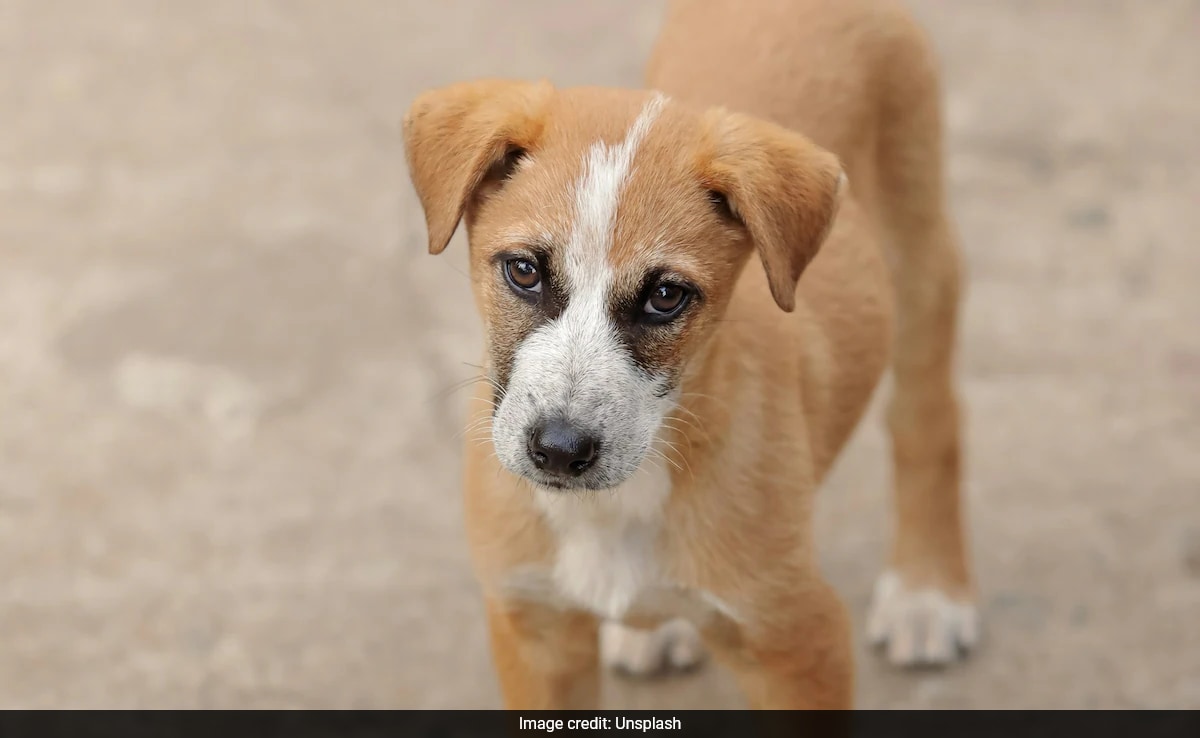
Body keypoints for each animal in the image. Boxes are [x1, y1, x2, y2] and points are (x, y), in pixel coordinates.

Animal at [403, 0, 974, 710]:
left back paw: (928, 593)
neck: (615, 505)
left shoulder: (797, 635)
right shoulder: (535, 630)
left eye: (666, 296)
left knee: (927, 418)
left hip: (917, 254)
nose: (560, 450)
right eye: (524, 271)